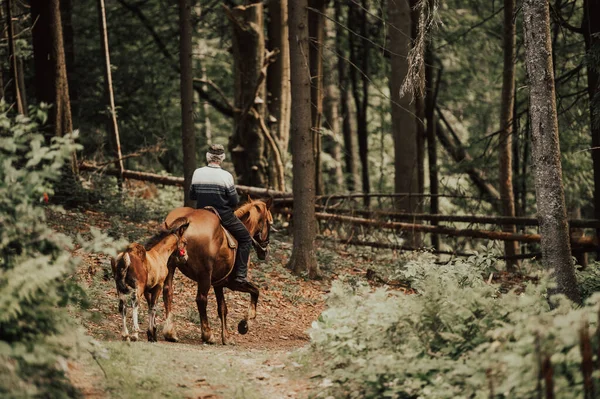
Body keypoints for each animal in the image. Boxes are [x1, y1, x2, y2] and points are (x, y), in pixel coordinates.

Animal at [162, 198, 274, 346]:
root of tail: (188, 220)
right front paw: (244, 324)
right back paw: (208, 335)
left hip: (170, 267)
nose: (264, 251)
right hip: (204, 275)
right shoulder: (233, 283)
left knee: (168, 291)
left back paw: (170, 332)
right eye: (269, 223)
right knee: (201, 299)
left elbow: (222, 309)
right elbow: (255, 291)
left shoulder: (218, 284)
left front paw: (226, 337)